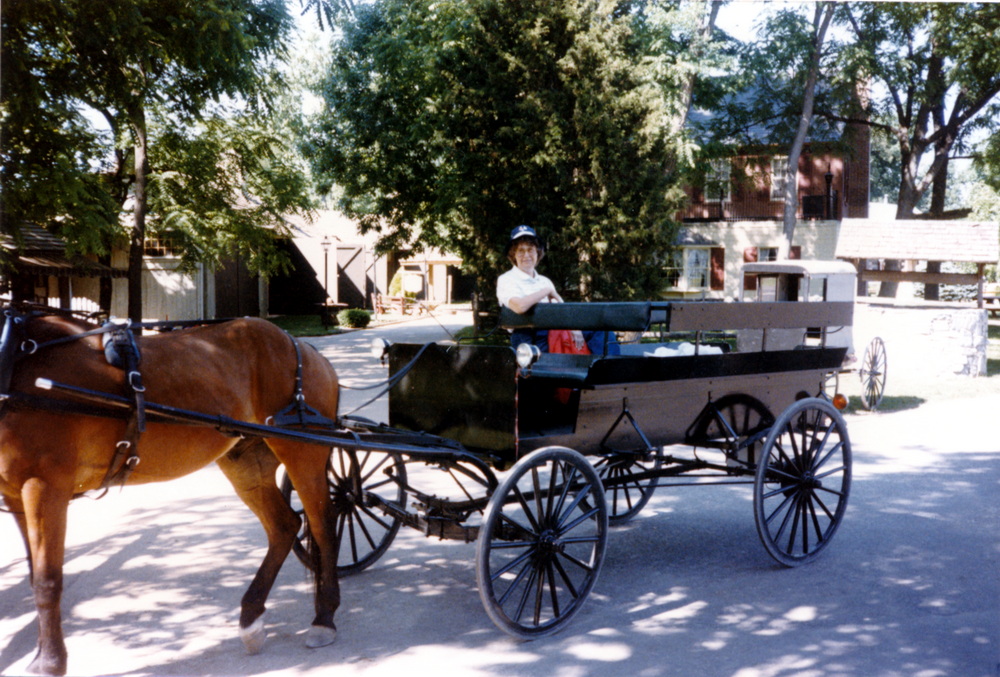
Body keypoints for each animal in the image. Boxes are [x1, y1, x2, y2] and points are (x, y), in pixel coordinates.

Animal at [0, 308, 344, 676]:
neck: (16, 357)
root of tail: (304, 346)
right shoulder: (15, 495)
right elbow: (34, 576)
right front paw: (43, 655)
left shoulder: (44, 486)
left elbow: (47, 580)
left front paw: (50, 662)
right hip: (245, 461)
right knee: (284, 525)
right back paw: (251, 617)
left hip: (302, 451)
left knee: (323, 524)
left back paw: (324, 618)